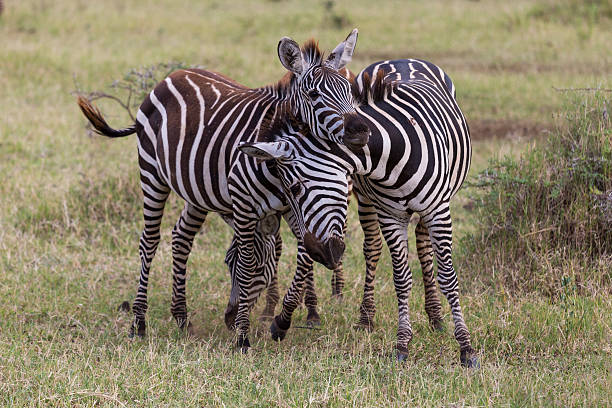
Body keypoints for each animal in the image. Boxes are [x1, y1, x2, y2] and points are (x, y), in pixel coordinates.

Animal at [79, 30, 370, 352]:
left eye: (351, 92)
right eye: (314, 95)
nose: (362, 129)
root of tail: (169, 77)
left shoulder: (292, 207)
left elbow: (301, 255)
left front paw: (282, 321)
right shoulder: (244, 206)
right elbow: (248, 260)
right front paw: (243, 335)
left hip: (196, 190)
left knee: (181, 237)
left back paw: (182, 317)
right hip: (152, 174)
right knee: (149, 242)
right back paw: (139, 323)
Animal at [249, 58, 478, 366]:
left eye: (295, 187)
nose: (316, 251)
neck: (392, 153)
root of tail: (402, 59)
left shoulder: (439, 211)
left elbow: (448, 277)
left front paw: (466, 347)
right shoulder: (390, 214)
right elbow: (401, 278)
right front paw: (402, 344)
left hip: (432, 207)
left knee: (425, 249)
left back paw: (435, 316)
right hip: (367, 201)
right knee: (373, 250)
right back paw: (367, 317)